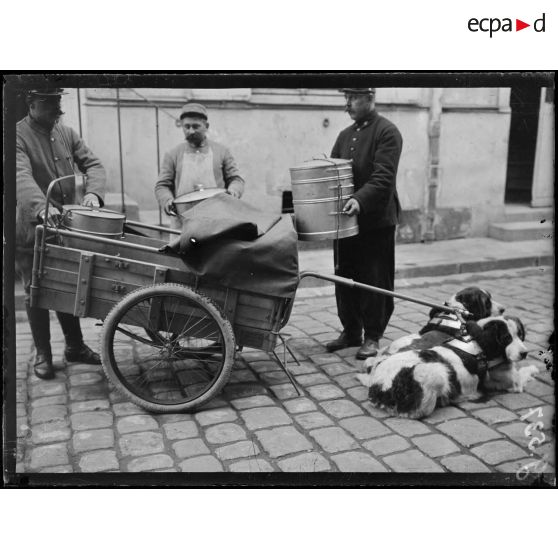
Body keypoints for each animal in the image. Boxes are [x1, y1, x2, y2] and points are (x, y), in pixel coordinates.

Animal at [358, 320, 540, 420]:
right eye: (507, 338)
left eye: (520, 335)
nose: (525, 353)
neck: (481, 344)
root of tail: (380, 387)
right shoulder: (513, 381)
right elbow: (526, 371)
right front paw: (535, 368)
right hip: (434, 371)